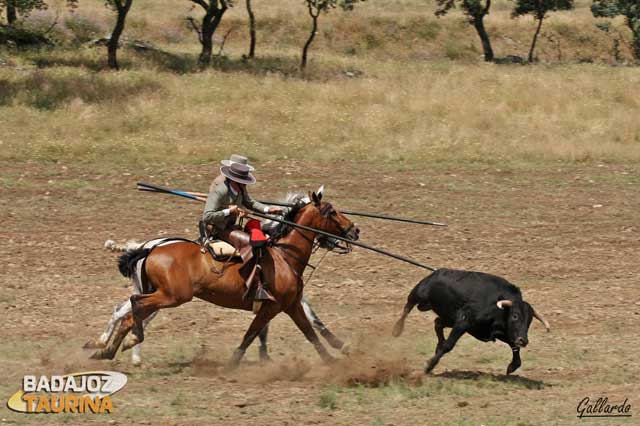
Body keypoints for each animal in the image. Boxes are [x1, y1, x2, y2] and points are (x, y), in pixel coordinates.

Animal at [90, 190, 360, 366]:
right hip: (171, 296)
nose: (354, 230)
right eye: (331, 211)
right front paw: (235, 363)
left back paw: (107, 351)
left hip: (158, 294)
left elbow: (309, 331)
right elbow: (252, 333)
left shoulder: (290, 305)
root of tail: (149, 248)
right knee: (134, 306)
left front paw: (331, 358)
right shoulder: (272, 307)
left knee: (129, 312)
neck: (284, 255)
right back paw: (124, 344)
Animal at [390, 268, 552, 374]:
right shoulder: (463, 323)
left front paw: (512, 367)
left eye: (530, 321)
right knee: (407, 307)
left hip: (448, 317)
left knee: (437, 323)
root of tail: (436, 272)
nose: (523, 340)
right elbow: (449, 345)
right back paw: (397, 329)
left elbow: (514, 348)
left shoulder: (497, 331)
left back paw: (438, 343)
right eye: (515, 316)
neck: (496, 305)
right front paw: (429, 365)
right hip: (418, 293)